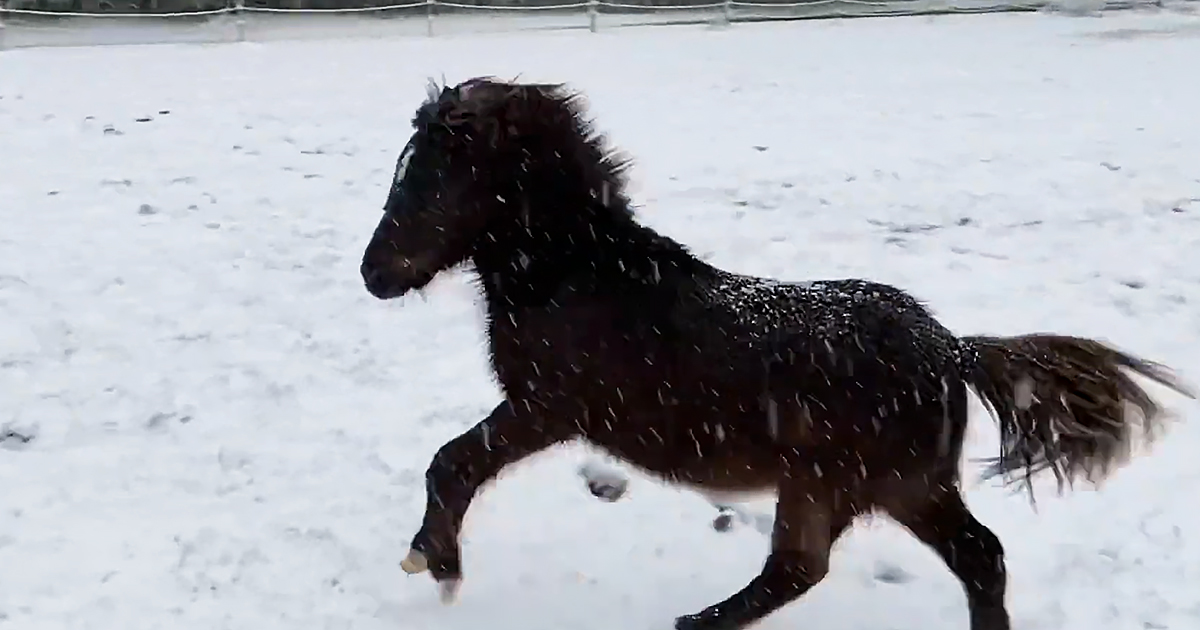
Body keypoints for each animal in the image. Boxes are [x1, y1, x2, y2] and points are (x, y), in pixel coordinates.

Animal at [358, 77, 1193, 630]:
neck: (581, 277)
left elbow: (454, 461)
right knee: (835, 567)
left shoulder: (551, 407)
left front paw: (436, 566)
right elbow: (454, 462)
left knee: (913, 561)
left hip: (873, 483)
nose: (374, 274)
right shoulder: (546, 409)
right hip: (867, 487)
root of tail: (952, 350)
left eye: (437, 176)